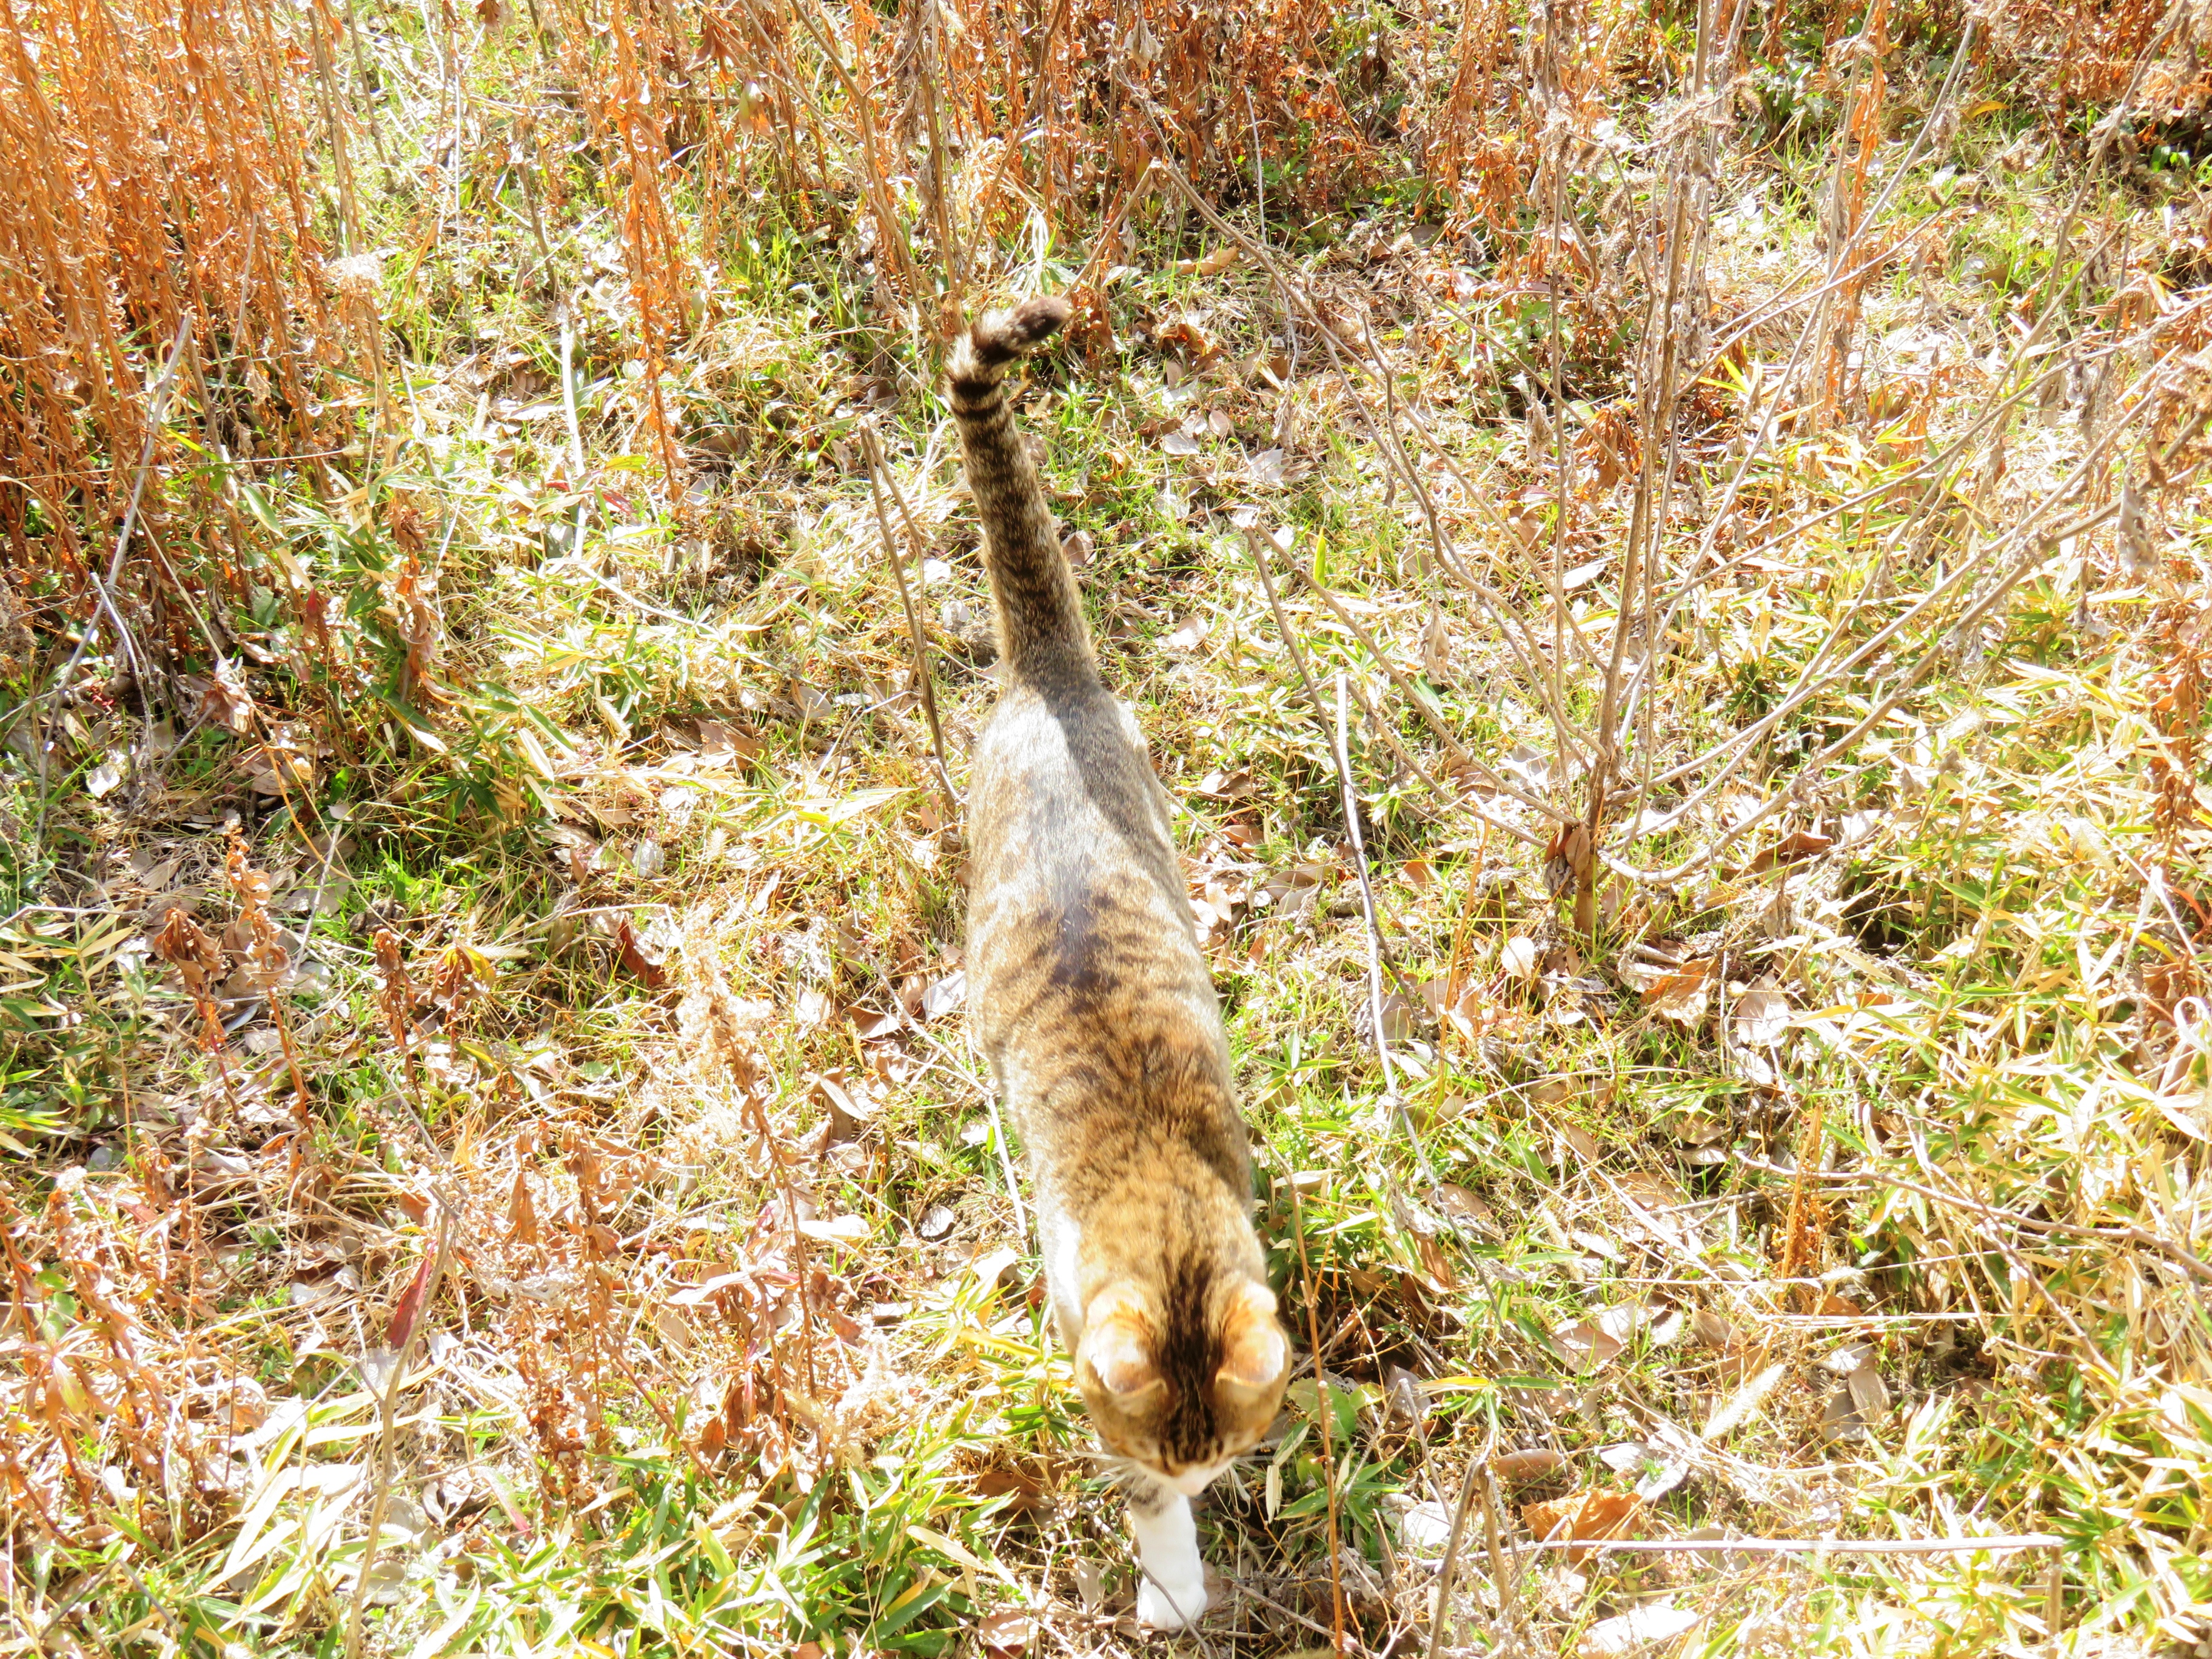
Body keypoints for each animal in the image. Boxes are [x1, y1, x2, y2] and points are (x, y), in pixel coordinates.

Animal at [951, 298, 1292, 1637]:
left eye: (1227, 1448)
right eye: (1159, 1455)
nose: (1204, 1481)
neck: (1153, 1173)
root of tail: (1048, 681)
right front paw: (1175, 1585)